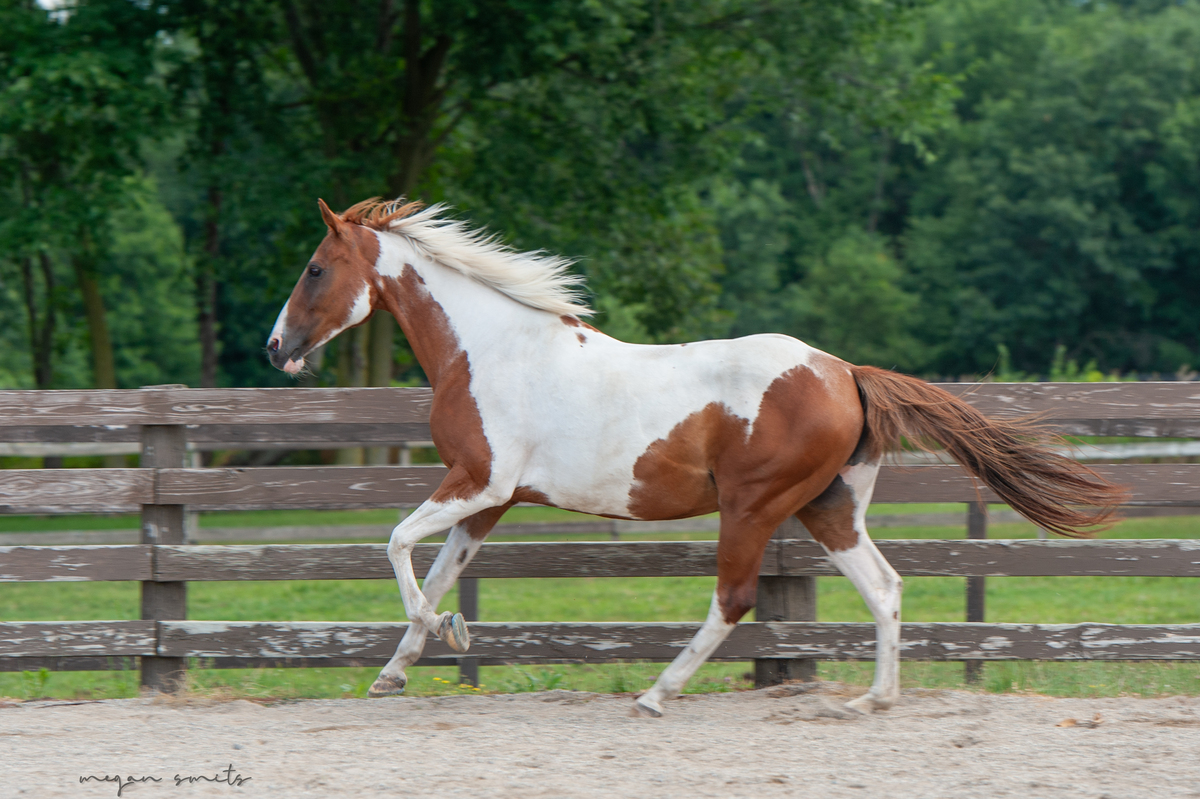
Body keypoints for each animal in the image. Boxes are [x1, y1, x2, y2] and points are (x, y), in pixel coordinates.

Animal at [267, 197, 1126, 717]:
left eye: (315, 267)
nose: (277, 347)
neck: (488, 350)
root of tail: (845, 370)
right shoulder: (491, 501)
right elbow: (439, 567)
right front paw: (398, 667)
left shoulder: (480, 480)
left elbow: (397, 545)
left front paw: (447, 632)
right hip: (829, 508)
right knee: (884, 587)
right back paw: (872, 700)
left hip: (753, 505)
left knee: (735, 598)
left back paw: (658, 690)